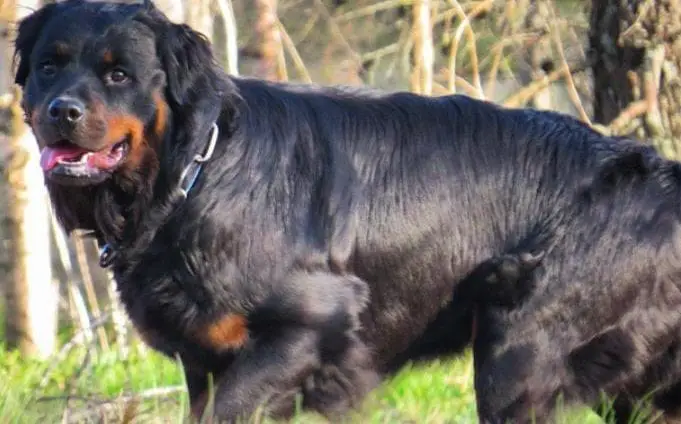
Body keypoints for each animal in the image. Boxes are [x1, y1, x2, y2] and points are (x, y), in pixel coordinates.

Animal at [14, 1, 681, 422]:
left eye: (118, 74)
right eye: (48, 65)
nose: (62, 110)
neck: (194, 175)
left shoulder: (308, 328)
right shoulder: (204, 361)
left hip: (519, 357)